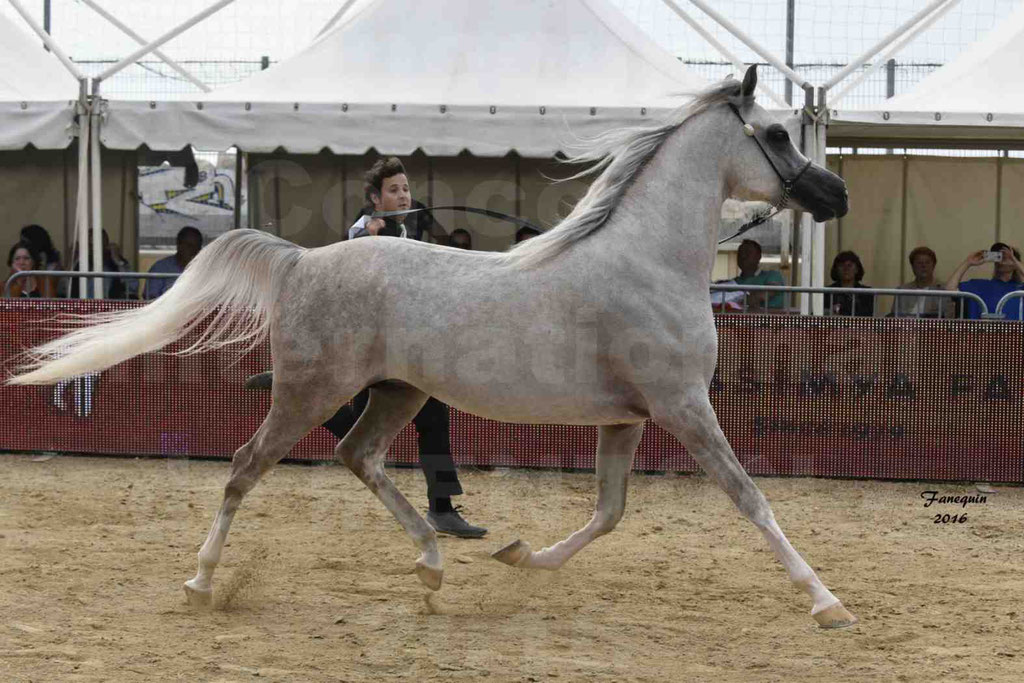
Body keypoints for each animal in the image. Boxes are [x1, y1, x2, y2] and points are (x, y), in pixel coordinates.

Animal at [8, 68, 856, 630]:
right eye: (775, 134)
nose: (836, 194)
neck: (645, 260)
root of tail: (301, 260)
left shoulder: (628, 418)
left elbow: (608, 514)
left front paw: (520, 557)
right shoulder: (683, 407)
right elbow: (751, 498)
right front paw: (828, 602)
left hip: (398, 391)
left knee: (358, 456)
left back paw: (432, 563)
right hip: (308, 391)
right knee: (247, 466)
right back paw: (201, 580)